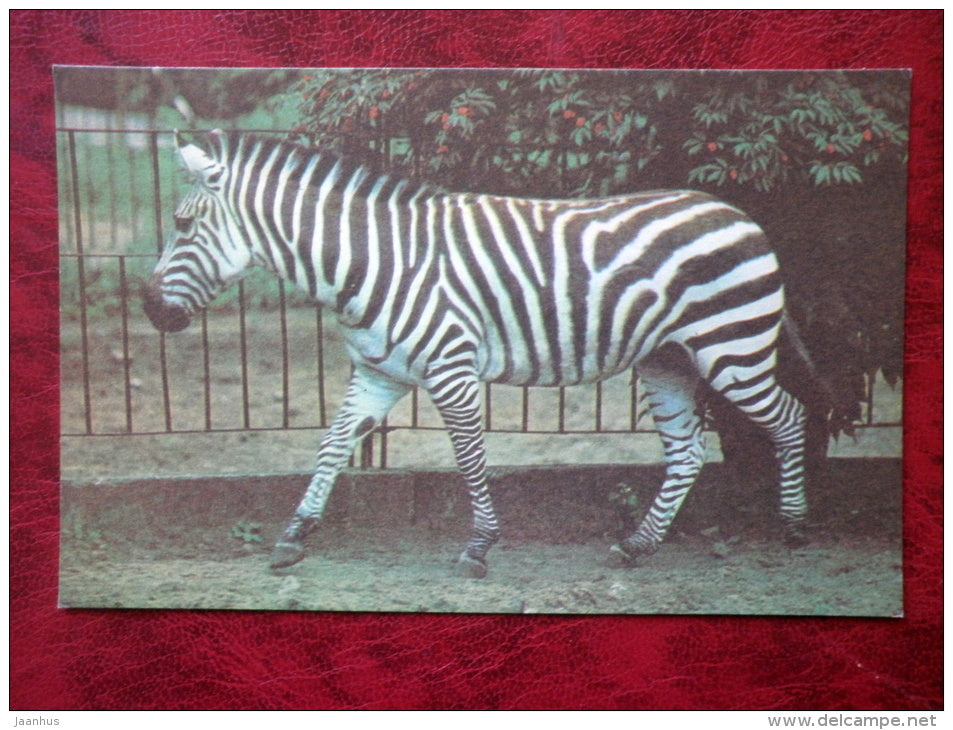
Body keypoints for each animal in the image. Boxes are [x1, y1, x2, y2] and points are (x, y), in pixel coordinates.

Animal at [143, 130, 809, 578]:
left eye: (182, 224)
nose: (149, 310)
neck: (370, 262)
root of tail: (739, 213)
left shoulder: (451, 368)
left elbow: (468, 457)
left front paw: (479, 546)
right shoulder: (378, 372)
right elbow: (331, 446)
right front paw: (294, 536)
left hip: (731, 348)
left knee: (792, 420)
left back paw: (796, 529)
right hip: (667, 360)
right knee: (688, 452)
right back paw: (636, 545)